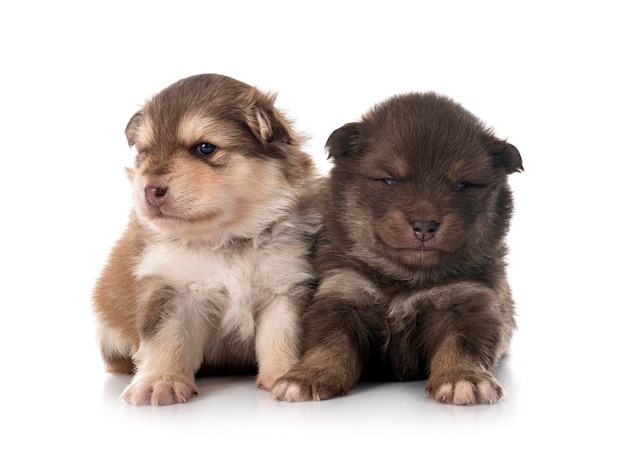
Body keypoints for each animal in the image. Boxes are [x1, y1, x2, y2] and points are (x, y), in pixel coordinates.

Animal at [91, 74, 322, 406]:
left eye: (204, 148)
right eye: (145, 152)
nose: (150, 190)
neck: (227, 240)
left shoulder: (284, 285)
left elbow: (282, 336)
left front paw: (285, 375)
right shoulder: (173, 289)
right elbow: (167, 338)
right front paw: (160, 381)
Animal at [270, 92, 520, 402]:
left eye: (463, 184)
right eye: (389, 180)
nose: (424, 225)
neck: (404, 278)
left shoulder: (468, 301)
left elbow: (462, 344)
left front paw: (463, 379)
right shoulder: (343, 294)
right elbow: (329, 343)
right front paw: (307, 376)